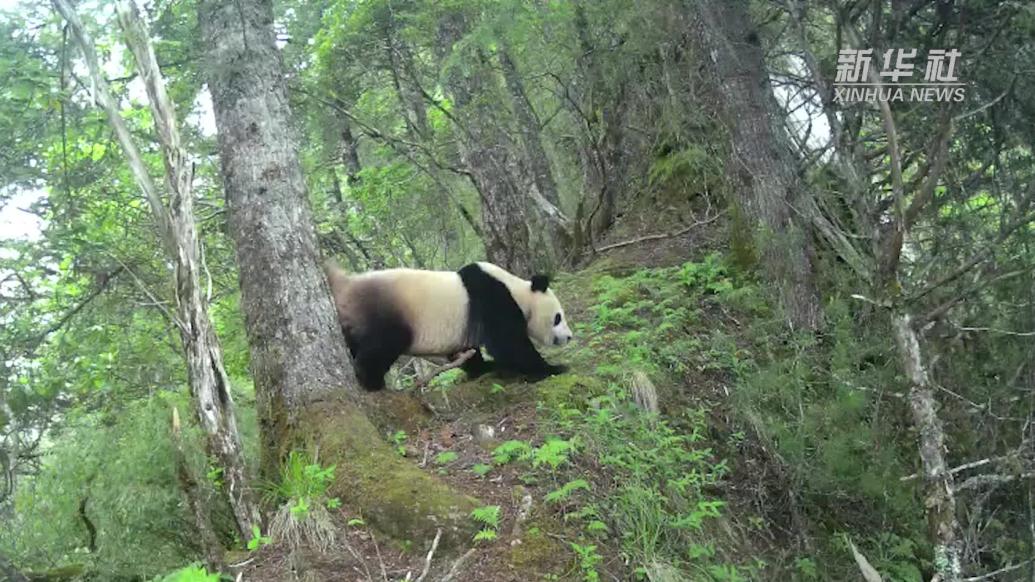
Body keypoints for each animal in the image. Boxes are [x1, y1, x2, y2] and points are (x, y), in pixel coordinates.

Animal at [320, 262, 575, 389]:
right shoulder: (492, 298)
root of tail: (344, 288)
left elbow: (468, 352)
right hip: (383, 313)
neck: (518, 290)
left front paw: (484, 368)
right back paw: (371, 381)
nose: (569, 337)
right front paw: (553, 368)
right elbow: (508, 343)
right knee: (384, 343)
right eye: (558, 317)